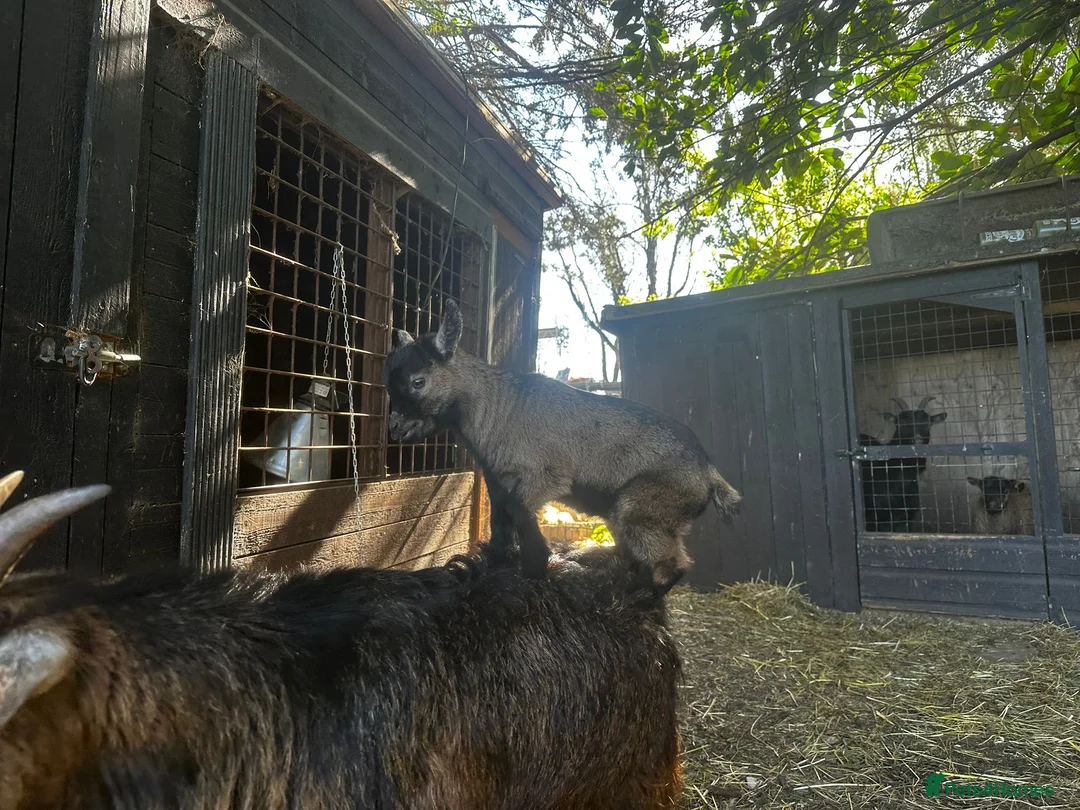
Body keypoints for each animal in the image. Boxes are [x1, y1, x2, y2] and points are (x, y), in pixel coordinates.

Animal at [383, 299, 742, 586]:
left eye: (418, 382)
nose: (395, 429)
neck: (499, 406)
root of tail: (709, 473)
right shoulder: (497, 483)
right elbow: (500, 524)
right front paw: (498, 564)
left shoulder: (544, 477)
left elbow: (521, 513)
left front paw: (535, 566)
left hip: (644, 508)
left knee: (672, 566)